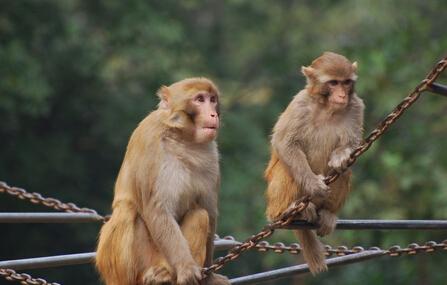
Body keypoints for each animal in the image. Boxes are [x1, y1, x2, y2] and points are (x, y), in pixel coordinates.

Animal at [97, 77, 231, 284]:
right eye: (200, 99)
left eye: (213, 99)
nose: (213, 113)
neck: (182, 137)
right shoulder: (150, 140)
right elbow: (157, 208)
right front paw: (186, 268)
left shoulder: (211, 153)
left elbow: (208, 211)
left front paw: (209, 278)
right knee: (127, 211)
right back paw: (150, 275)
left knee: (200, 215)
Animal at [266, 51, 364, 272]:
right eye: (333, 83)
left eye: (346, 83)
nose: (342, 95)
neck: (327, 107)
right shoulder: (300, 104)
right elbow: (284, 142)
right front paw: (313, 184)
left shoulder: (356, 106)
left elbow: (352, 144)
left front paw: (340, 157)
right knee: (287, 169)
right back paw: (287, 211)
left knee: (345, 172)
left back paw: (327, 213)